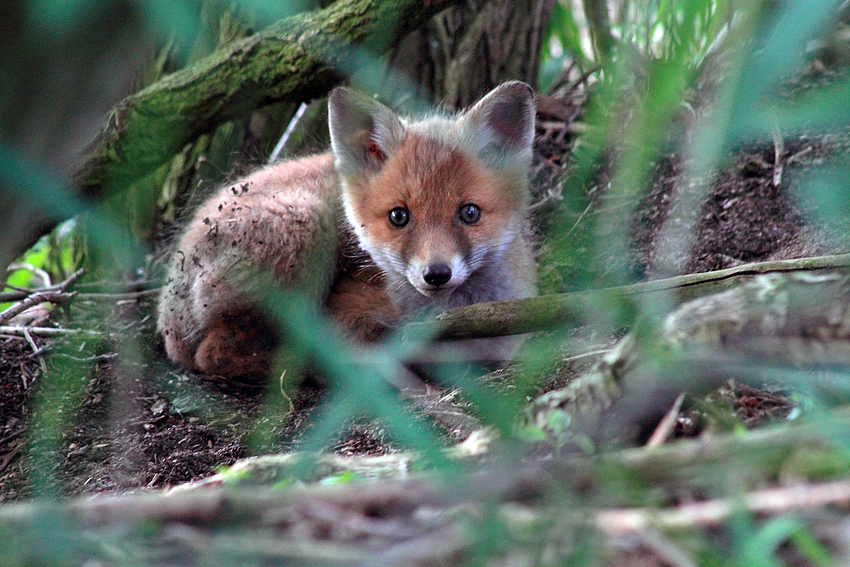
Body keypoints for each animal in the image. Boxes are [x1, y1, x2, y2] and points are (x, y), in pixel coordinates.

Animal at [156, 81, 532, 378]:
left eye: (469, 213)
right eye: (399, 216)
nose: (436, 274)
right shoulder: (348, 309)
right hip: (306, 230)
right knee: (216, 355)